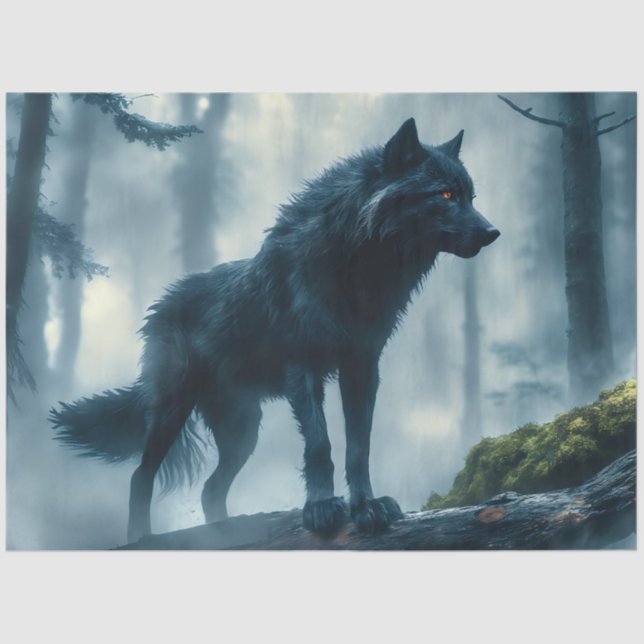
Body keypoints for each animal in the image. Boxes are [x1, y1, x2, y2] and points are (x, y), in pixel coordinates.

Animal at [51, 118, 499, 543]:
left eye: (470, 196)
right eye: (445, 195)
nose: (494, 233)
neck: (358, 265)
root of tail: (160, 305)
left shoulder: (361, 367)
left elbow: (359, 447)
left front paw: (366, 507)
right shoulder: (304, 367)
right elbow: (320, 444)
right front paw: (321, 510)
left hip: (242, 430)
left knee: (210, 490)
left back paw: (224, 535)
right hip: (172, 410)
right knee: (140, 477)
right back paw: (141, 539)